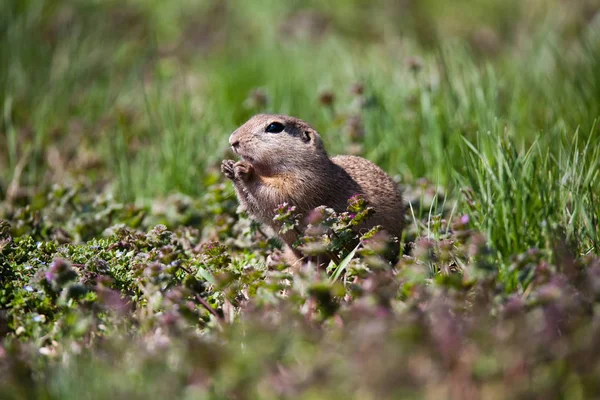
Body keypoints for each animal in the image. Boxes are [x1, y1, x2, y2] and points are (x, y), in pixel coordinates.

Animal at [223, 113, 406, 262]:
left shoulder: (303, 182)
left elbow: (277, 194)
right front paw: (228, 167)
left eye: (274, 127)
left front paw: (245, 170)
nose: (232, 140)